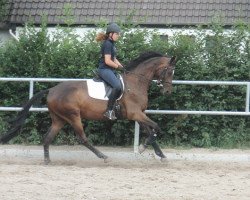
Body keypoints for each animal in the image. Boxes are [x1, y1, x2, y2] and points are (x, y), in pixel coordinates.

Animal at [0, 52, 176, 164]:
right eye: (169, 71)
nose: (167, 91)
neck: (135, 83)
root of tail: (52, 90)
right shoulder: (135, 114)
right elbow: (156, 128)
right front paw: (142, 148)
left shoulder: (139, 115)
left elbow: (151, 131)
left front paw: (160, 155)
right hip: (73, 116)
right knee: (82, 138)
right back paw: (103, 156)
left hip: (59, 119)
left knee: (48, 137)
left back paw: (47, 160)